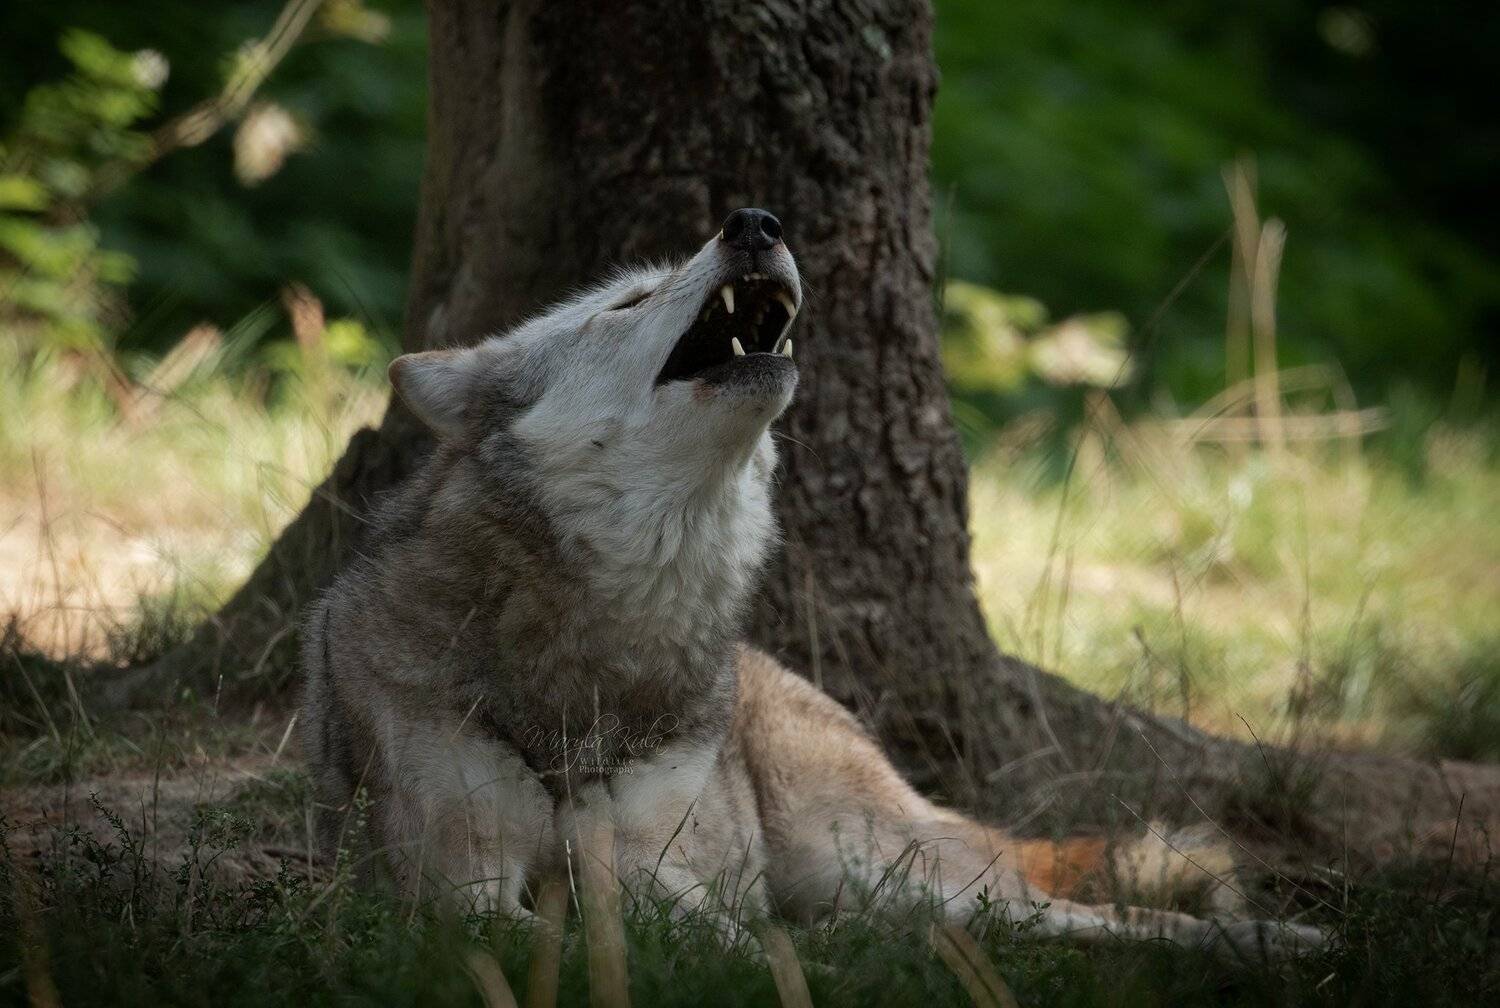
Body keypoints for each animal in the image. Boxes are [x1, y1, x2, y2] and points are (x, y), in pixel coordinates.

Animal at [300, 207, 1318, 957]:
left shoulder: (653, 864)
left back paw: (1279, 941)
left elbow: (704, 927)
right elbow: (535, 926)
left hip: (887, 868)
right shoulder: (454, 884)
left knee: (1098, 914)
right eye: (631, 300)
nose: (754, 219)